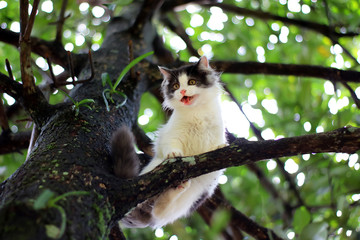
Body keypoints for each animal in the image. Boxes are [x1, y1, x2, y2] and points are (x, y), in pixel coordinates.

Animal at [111, 56, 226, 229]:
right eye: (176, 86)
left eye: (192, 82)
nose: (183, 91)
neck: (196, 112)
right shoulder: (171, 135)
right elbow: (171, 145)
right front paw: (174, 153)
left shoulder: (216, 132)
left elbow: (216, 144)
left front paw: (220, 146)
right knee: (155, 208)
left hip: (191, 197)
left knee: (159, 211)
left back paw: (179, 186)